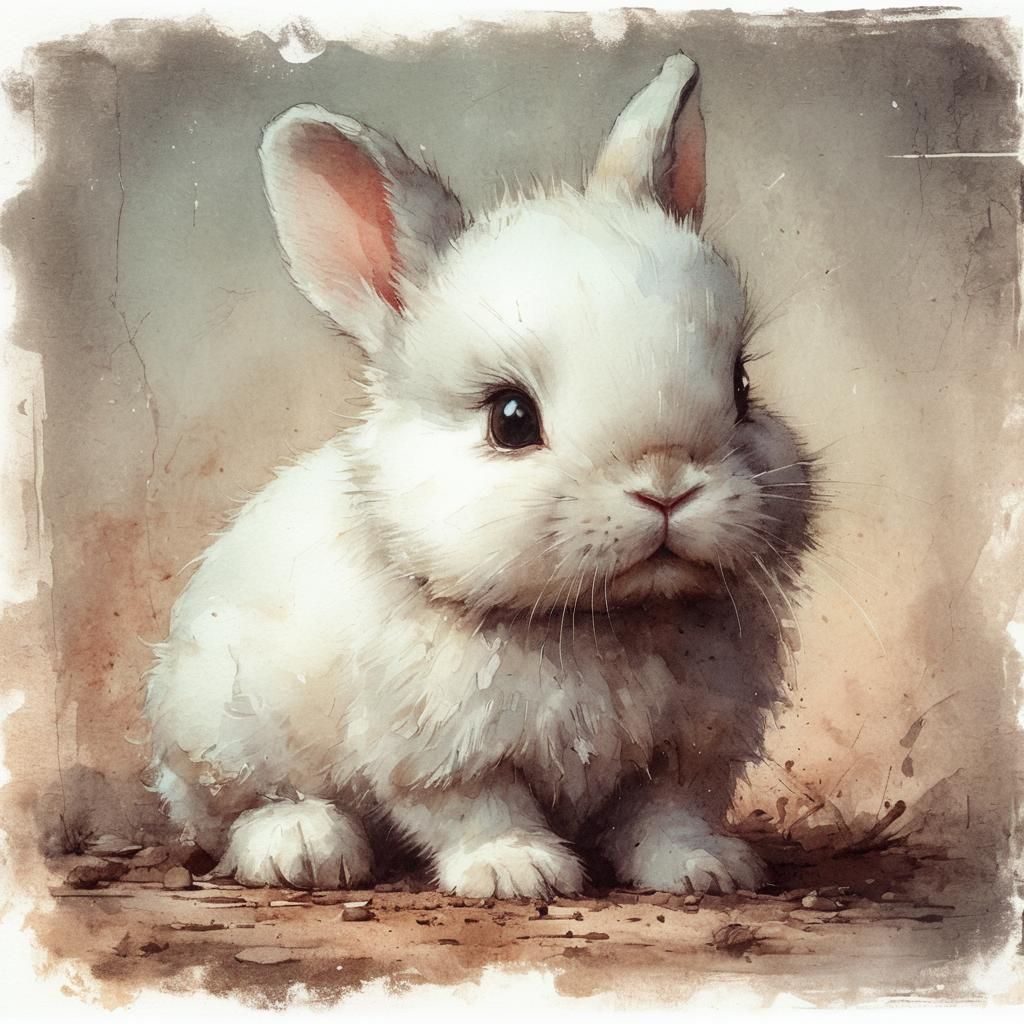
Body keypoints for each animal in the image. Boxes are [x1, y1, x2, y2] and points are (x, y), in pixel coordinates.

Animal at [143, 52, 813, 898]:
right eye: (511, 418)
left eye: (741, 385)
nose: (665, 485)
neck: (596, 621)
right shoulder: (438, 754)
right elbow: (479, 809)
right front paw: (517, 872)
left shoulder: (692, 747)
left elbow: (670, 812)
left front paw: (704, 870)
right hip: (219, 733)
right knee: (236, 813)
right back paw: (303, 847)